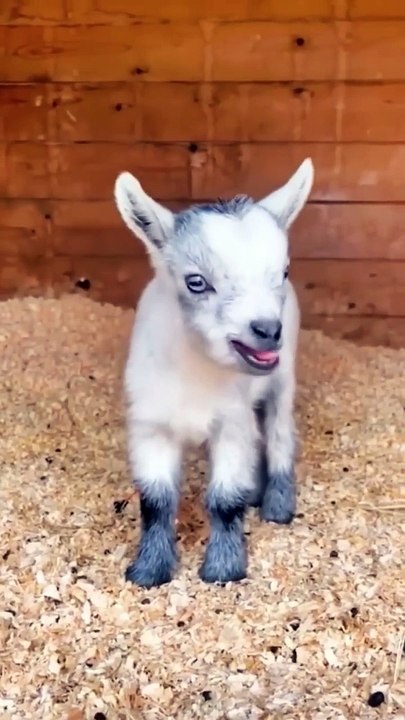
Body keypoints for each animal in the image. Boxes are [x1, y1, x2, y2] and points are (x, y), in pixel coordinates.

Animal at [114, 158, 314, 588]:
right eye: (196, 282)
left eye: (284, 272)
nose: (267, 329)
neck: (195, 375)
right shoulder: (150, 427)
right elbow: (156, 502)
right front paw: (148, 570)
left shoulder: (231, 425)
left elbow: (223, 500)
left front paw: (223, 568)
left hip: (282, 380)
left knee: (278, 434)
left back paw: (277, 504)